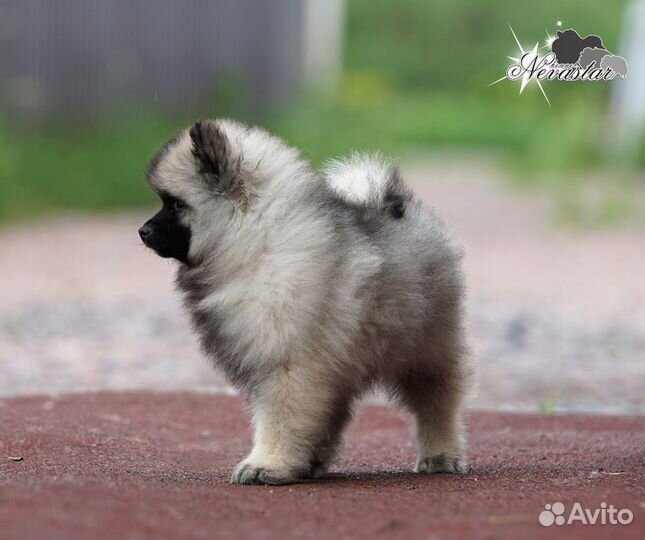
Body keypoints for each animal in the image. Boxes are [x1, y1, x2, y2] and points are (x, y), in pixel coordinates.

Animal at [140, 121, 468, 486]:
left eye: (175, 204)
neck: (258, 239)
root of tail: (399, 205)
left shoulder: (288, 365)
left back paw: (440, 454)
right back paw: (313, 461)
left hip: (423, 351)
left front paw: (266, 464)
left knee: (437, 405)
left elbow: (278, 419)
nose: (143, 231)